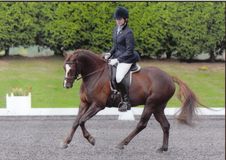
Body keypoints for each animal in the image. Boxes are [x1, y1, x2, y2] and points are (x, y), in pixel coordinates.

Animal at [61, 49, 201, 152]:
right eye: (64, 68)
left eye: (72, 68)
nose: (66, 85)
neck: (95, 74)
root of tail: (169, 77)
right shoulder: (84, 103)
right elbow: (76, 122)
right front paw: (66, 142)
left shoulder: (97, 105)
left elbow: (82, 121)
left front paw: (91, 139)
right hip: (158, 107)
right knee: (165, 125)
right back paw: (163, 148)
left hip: (151, 104)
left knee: (142, 124)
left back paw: (122, 143)